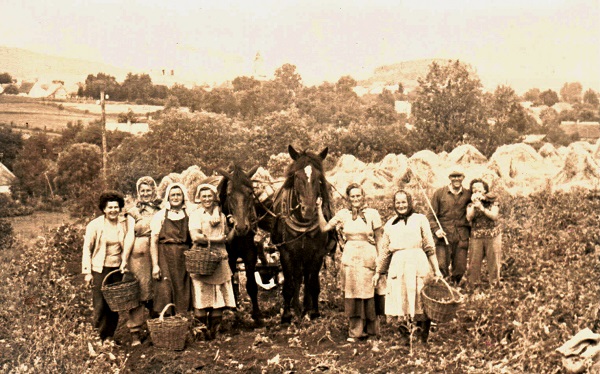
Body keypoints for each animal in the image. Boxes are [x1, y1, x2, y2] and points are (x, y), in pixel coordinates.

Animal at [214, 165, 264, 322]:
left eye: (250, 193)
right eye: (229, 194)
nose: (241, 227)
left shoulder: (250, 254)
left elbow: (251, 284)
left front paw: (257, 314)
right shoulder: (229, 256)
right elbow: (229, 282)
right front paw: (232, 311)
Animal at [270, 145, 336, 322]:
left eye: (318, 177)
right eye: (296, 176)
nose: (309, 210)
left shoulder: (317, 253)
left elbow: (313, 283)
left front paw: (313, 311)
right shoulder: (286, 252)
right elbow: (289, 283)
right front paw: (287, 315)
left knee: (306, 277)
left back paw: (305, 306)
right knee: (298, 277)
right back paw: (297, 308)